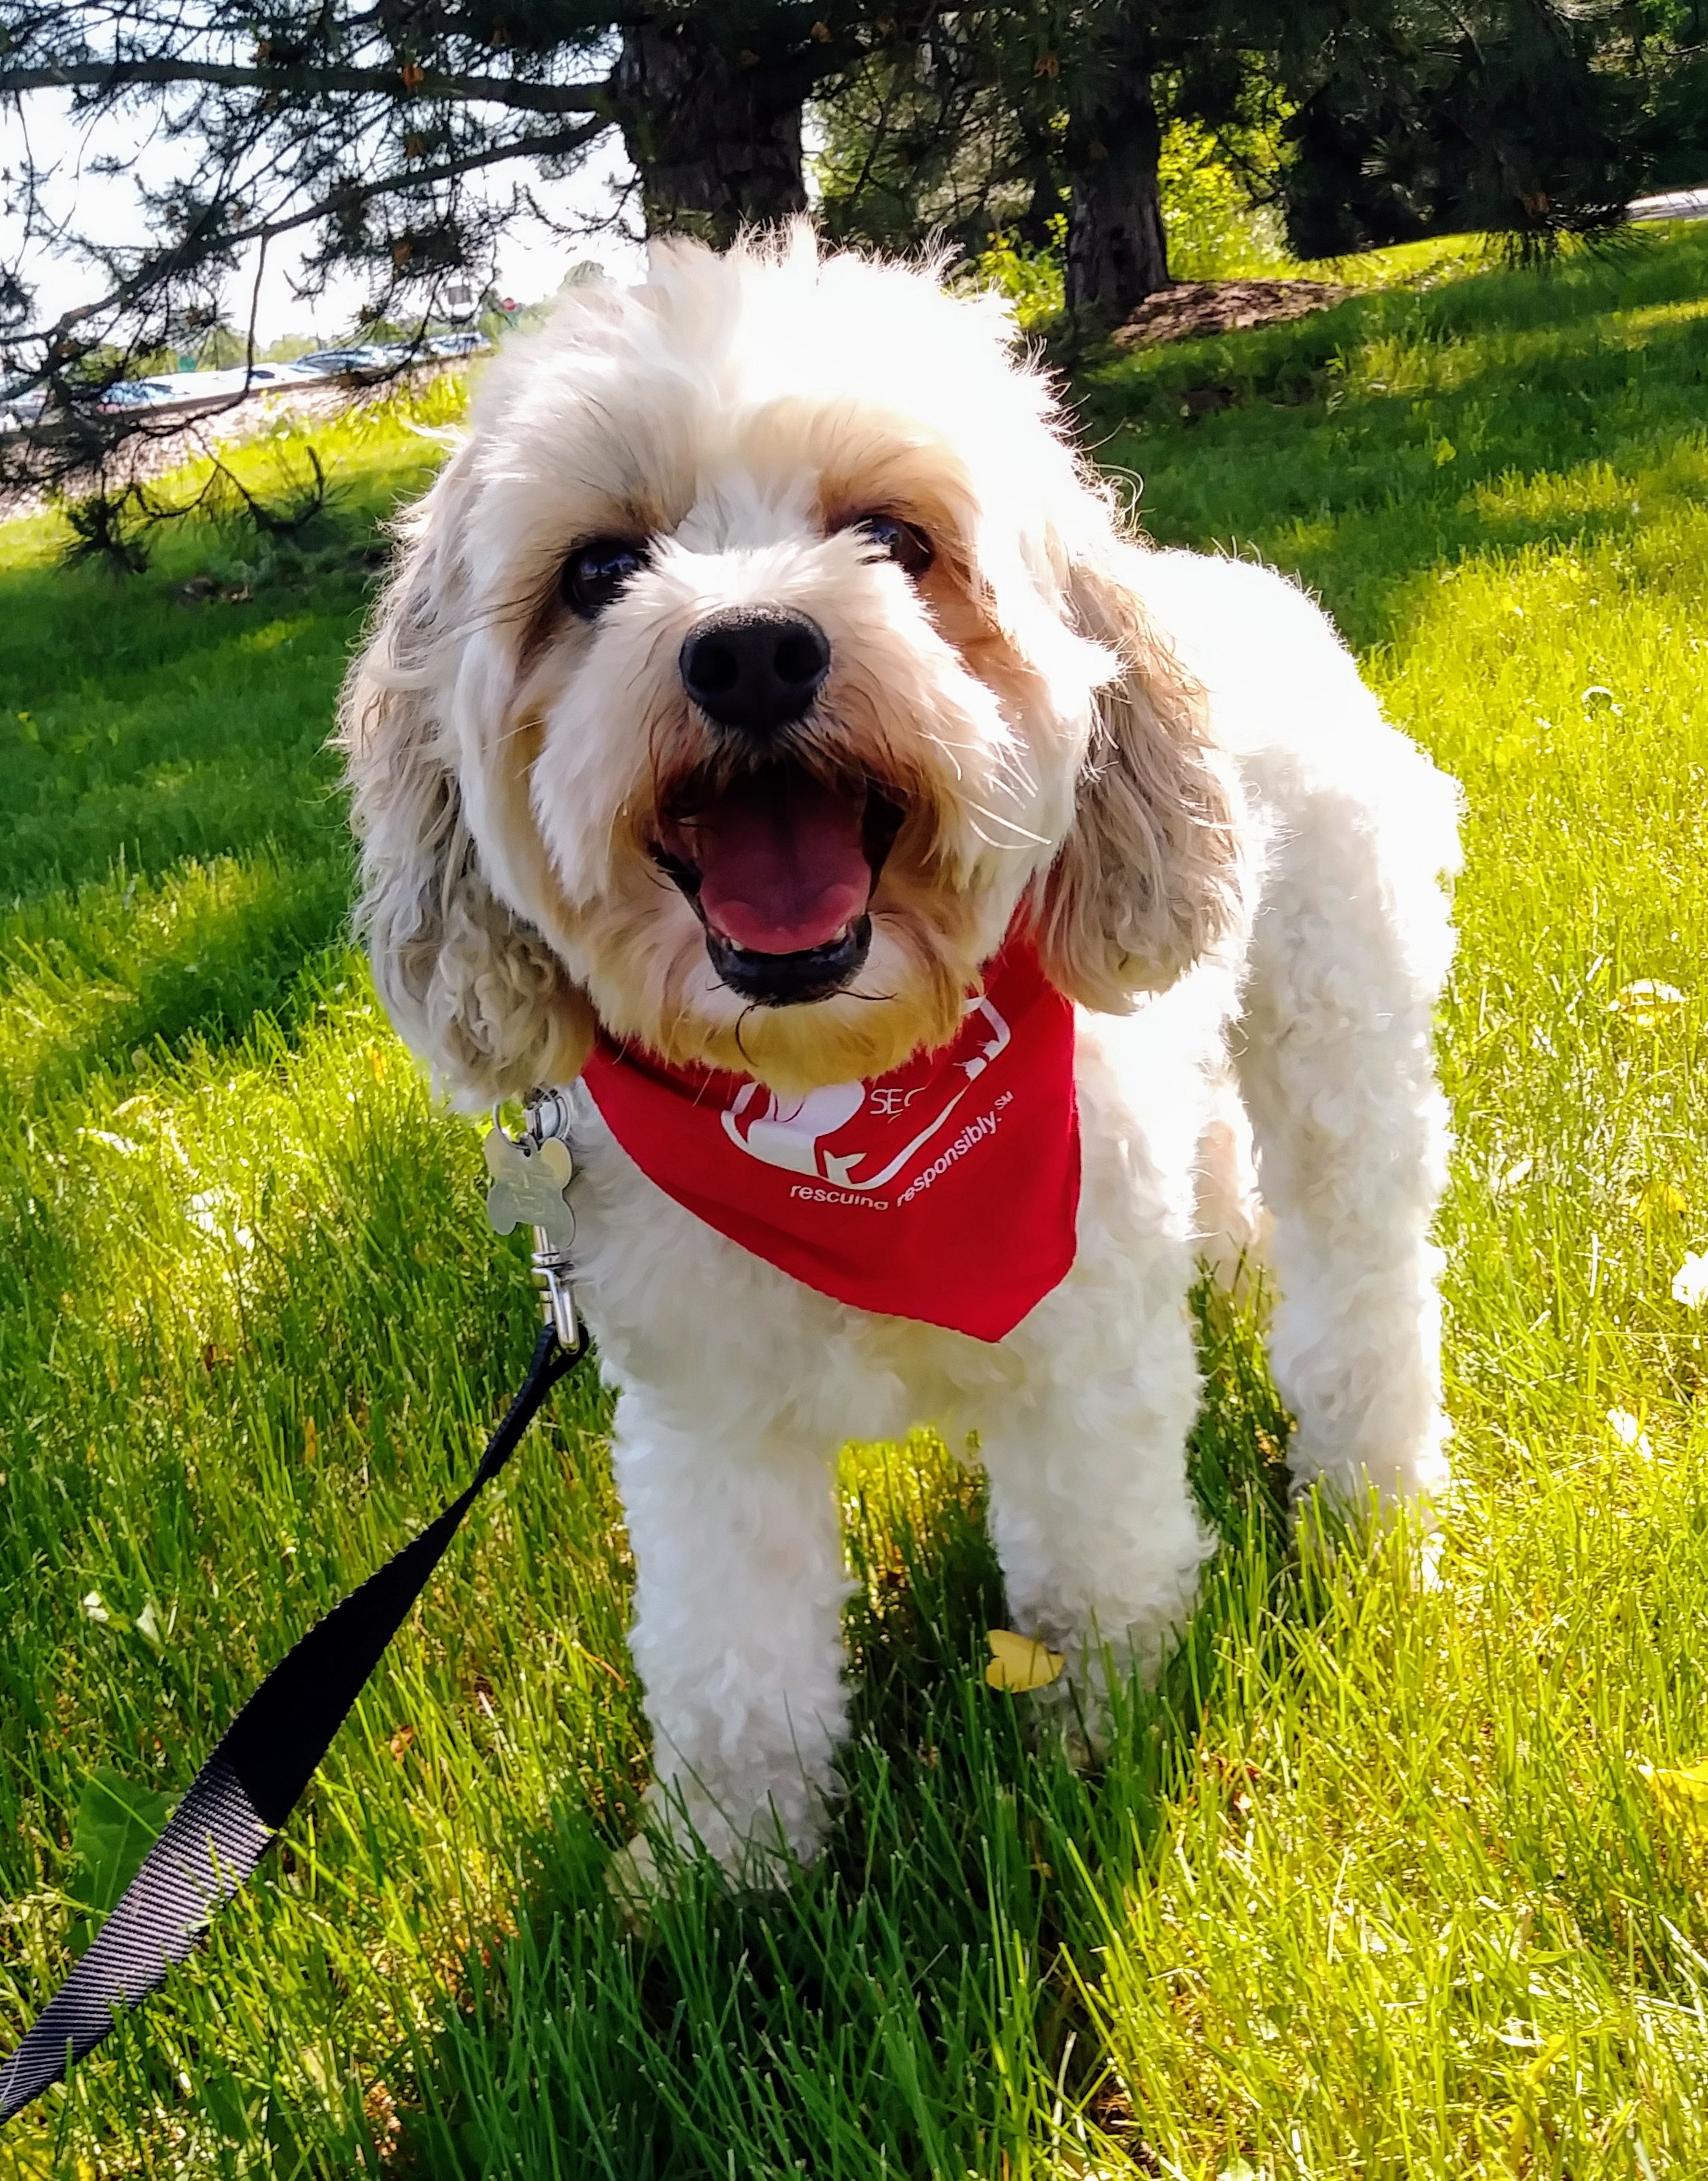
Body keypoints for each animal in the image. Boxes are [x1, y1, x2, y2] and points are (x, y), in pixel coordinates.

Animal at [340, 229, 1465, 1884]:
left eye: (894, 536)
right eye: (596, 570)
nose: (750, 652)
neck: (843, 1072)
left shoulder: (1083, 1358)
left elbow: (1094, 1576)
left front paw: (1094, 1750)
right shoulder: (701, 1416)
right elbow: (730, 1657)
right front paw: (719, 1866)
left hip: (1339, 1042)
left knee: (1363, 1285)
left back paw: (1370, 1494)